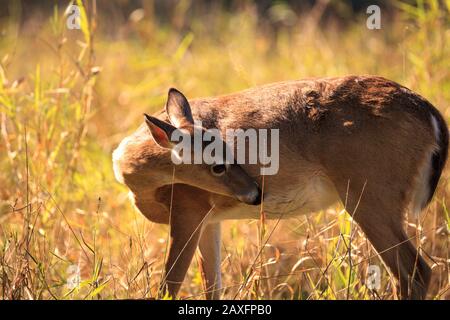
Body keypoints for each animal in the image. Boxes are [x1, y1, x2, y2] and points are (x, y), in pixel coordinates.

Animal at [111, 75, 446, 300]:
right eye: (219, 163)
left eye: (229, 152)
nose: (255, 193)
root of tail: (430, 113)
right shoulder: (210, 219)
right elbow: (212, 287)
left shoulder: (188, 209)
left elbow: (169, 284)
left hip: (369, 196)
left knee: (414, 270)